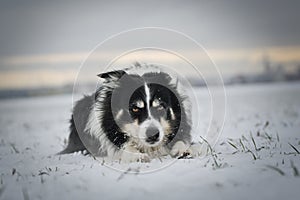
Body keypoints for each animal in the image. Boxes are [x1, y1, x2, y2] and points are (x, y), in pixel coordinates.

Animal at [60, 64, 195, 162]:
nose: (153, 135)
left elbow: (181, 140)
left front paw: (184, 149)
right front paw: (136, 155)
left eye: (160, 107)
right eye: (134, 108)